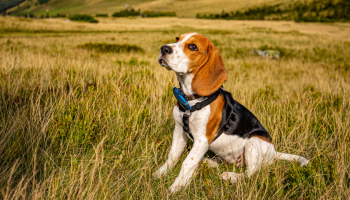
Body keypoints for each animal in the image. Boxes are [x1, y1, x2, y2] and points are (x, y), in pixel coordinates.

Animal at [154, 32, 308, 193]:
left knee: (251, 172)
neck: (192, 100)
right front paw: (161, 173)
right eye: (177, 39)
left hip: (253, 142)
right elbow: (172, 155)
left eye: (193, 47)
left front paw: (177, 185)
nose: (164, 49)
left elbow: (187, 162)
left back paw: (232, 177)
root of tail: (274, 152)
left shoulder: (202, 139)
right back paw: (210, 162)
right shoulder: (179, 130)